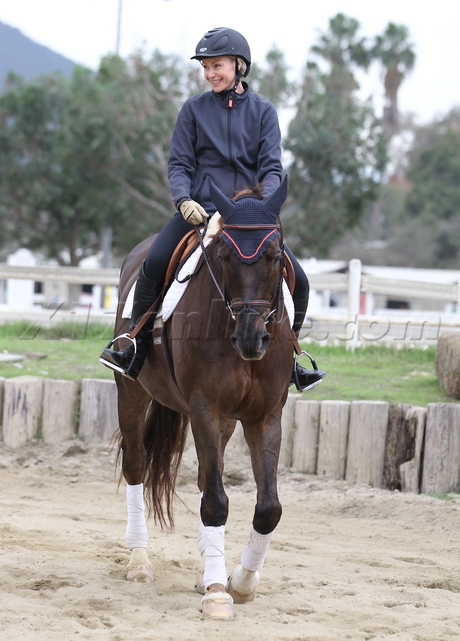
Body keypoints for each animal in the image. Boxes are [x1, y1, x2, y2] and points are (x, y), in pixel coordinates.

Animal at [110, 176, 296, 618]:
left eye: (275, 256)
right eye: (225, 255)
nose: (251, 338)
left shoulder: (265, 417)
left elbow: (268, 507)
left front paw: (241, 582)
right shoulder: (205, 409)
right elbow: (215, 501)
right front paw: (217, 593)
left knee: (200, 480)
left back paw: (203, 568)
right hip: (132, 391)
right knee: (136, 466)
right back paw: (139, 563)